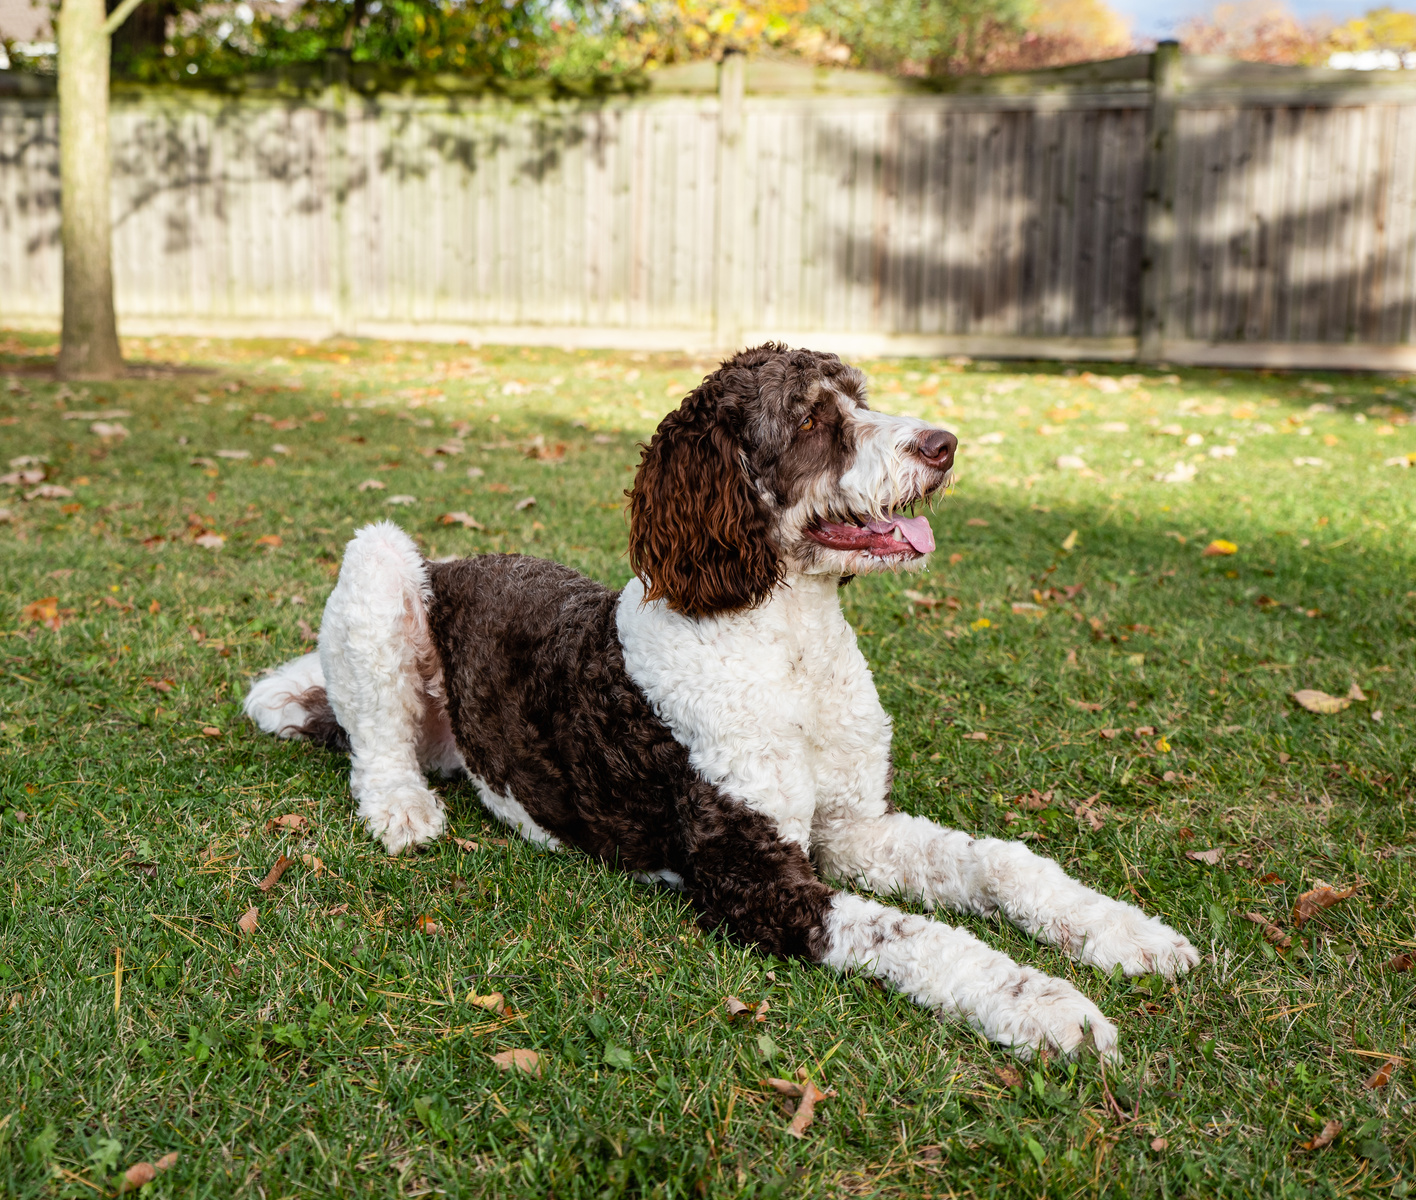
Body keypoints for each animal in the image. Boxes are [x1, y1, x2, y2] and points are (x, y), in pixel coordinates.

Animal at [243, 342, 1195, 1054]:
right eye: (811, 421)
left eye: (861, 396)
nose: (945, 443)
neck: (789, 647)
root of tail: (452, 563)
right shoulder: (754, 875)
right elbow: (914, 935)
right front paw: (1045, 1004)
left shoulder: (853, 826)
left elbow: (1000, 863)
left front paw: (1126, 933)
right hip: (378, 561)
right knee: (375, 740)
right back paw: (401, 810)